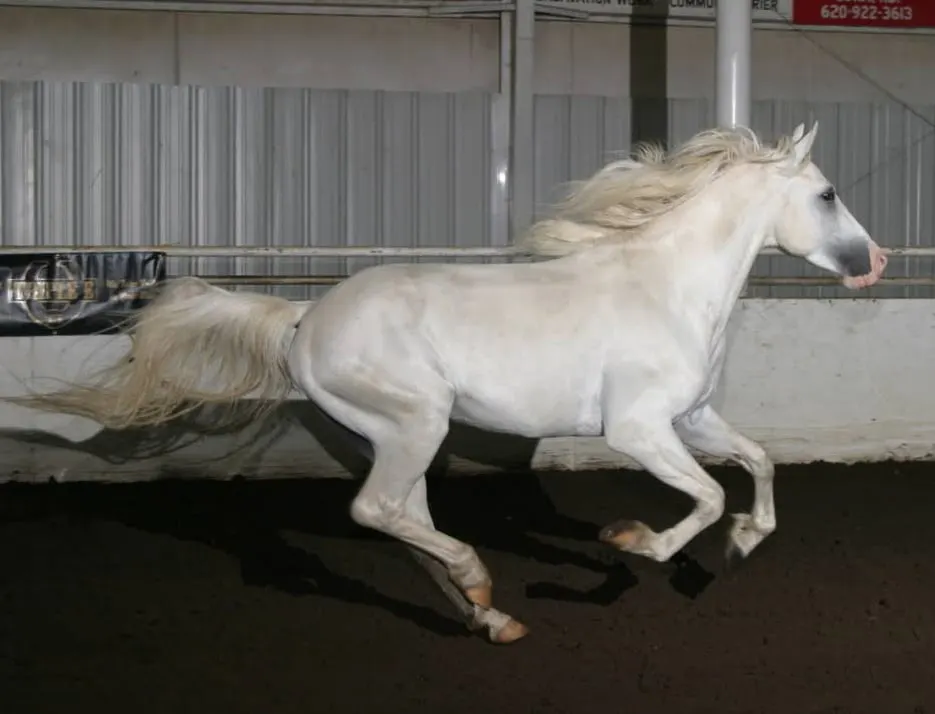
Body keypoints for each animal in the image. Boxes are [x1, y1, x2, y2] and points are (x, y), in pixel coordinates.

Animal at [12, 122, 884, 644]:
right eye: (827, 193)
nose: (874, 263)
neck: (665, 287)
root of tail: (303, 320)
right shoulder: (637, 431)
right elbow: (702, 496)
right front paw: (635, 543)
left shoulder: (693, 419)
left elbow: (758, 463)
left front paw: (740, 543)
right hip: (414, 423)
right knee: (374, 511)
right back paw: (475, 582)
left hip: (400, 435)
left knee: (405, 514)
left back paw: (489, 613)